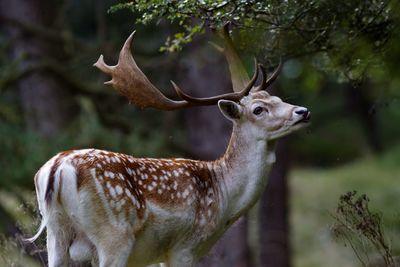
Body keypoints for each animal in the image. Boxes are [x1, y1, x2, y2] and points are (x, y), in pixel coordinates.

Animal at [28, 25, 310, 267]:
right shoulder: (184, 246)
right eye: (258, 109)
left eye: (278, 98)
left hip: (55, 235)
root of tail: (57, 168)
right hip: (114, 236)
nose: (303, 111)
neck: (223, 198)